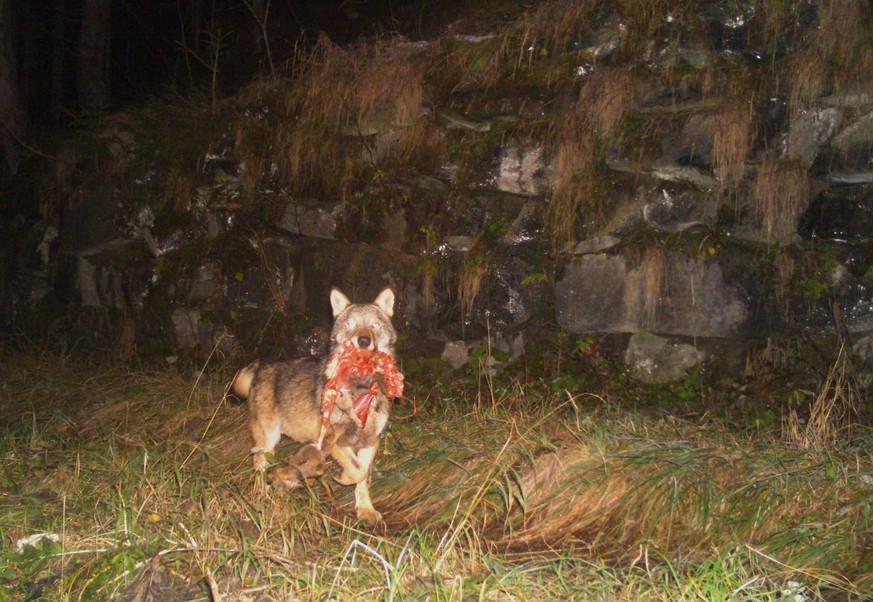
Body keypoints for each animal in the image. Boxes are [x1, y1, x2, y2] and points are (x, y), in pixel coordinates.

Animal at [230, 286, 396, 524]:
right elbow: (358, 471)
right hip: (268, 439)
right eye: (350, 324)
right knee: (258, 465)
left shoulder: (370, 440)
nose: (363, 340)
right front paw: (341, 477)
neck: (361, 388)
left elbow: (364, 478)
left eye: (375, 324)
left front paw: (365, 511)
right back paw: (262, 498)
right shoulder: (336, 441)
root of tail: (260, 364)